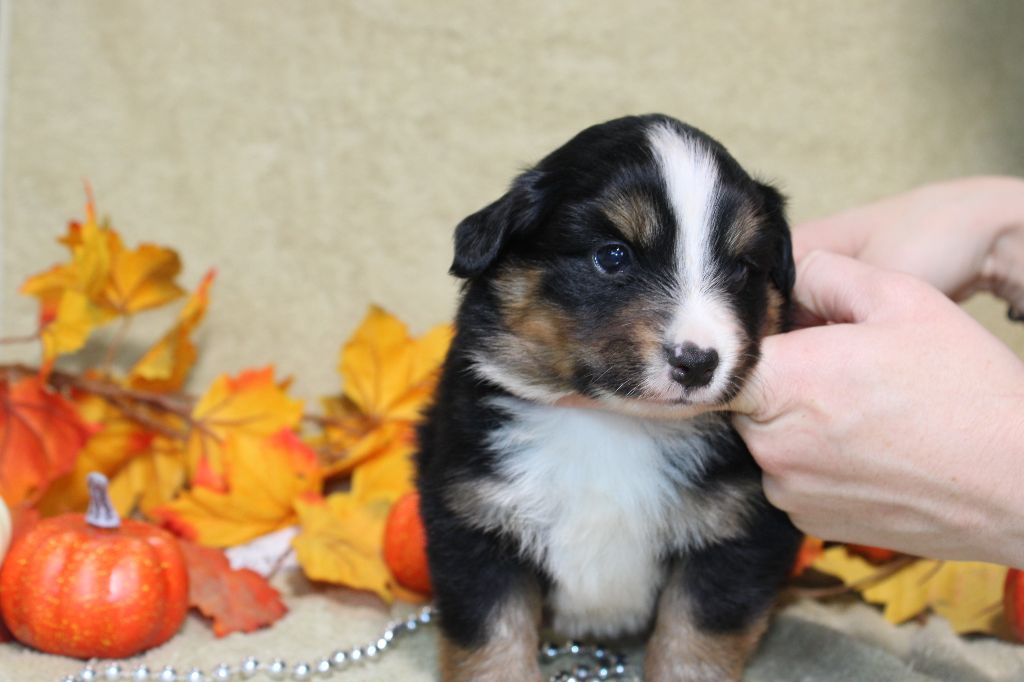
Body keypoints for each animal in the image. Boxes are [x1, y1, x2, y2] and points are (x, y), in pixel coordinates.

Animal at [413, 114, 798, 675]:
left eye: (741, 268)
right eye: (613, 256)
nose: (697, 362)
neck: (613, 422)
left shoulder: (740, 528)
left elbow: (694, 643)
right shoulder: (475, 519)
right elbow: (490, 643)